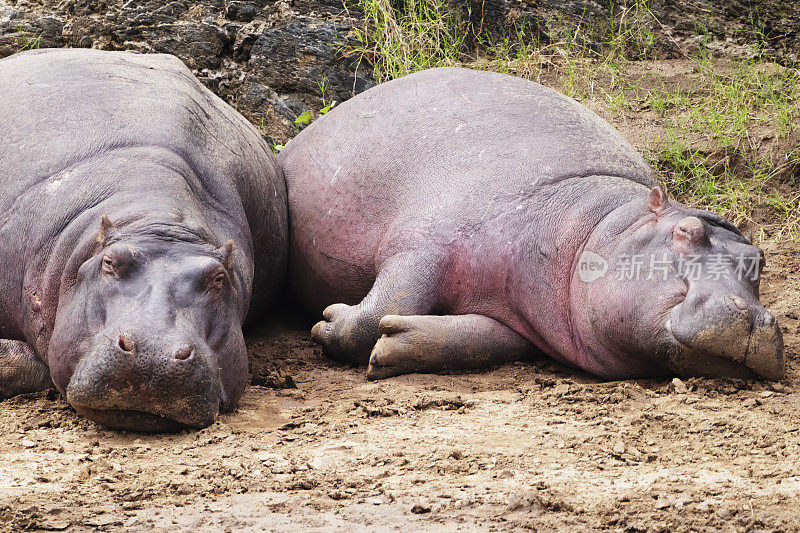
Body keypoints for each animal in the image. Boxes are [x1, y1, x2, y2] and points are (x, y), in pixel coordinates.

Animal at [282, 67, 788, 382]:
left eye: (759, 258)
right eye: (685, 232)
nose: (756, 317)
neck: (594, 223)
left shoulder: (517, 321)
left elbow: (475, 342)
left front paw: (390, 347)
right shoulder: (424, 245)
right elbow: (378, 311)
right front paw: (328, 323)